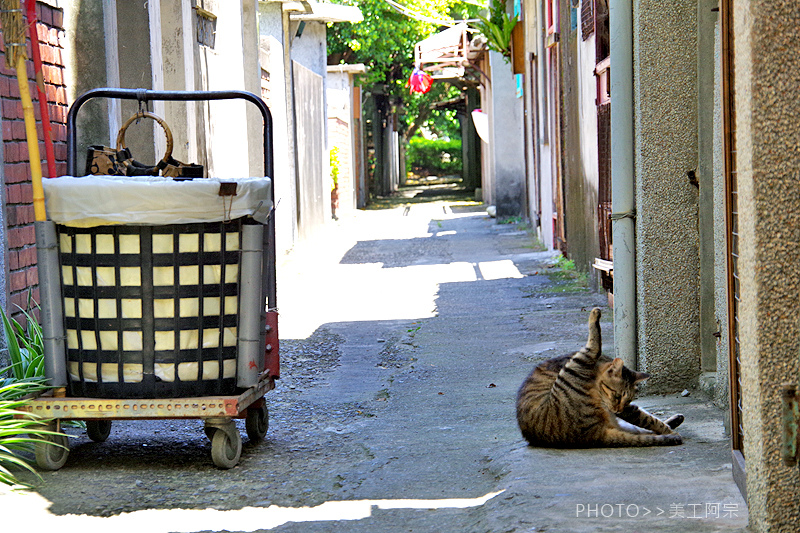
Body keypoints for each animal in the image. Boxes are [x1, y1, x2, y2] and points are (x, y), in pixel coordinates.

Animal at [516, 306, 684, 446]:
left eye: (628, 399)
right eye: (617, 396)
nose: (618, 411)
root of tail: (594, 435)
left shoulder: (626, 409)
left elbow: (648, 419)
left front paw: (669, 430)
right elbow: (649, 419)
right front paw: (669, 431)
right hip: (577, 364)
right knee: (593, 345)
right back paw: (594, 314)